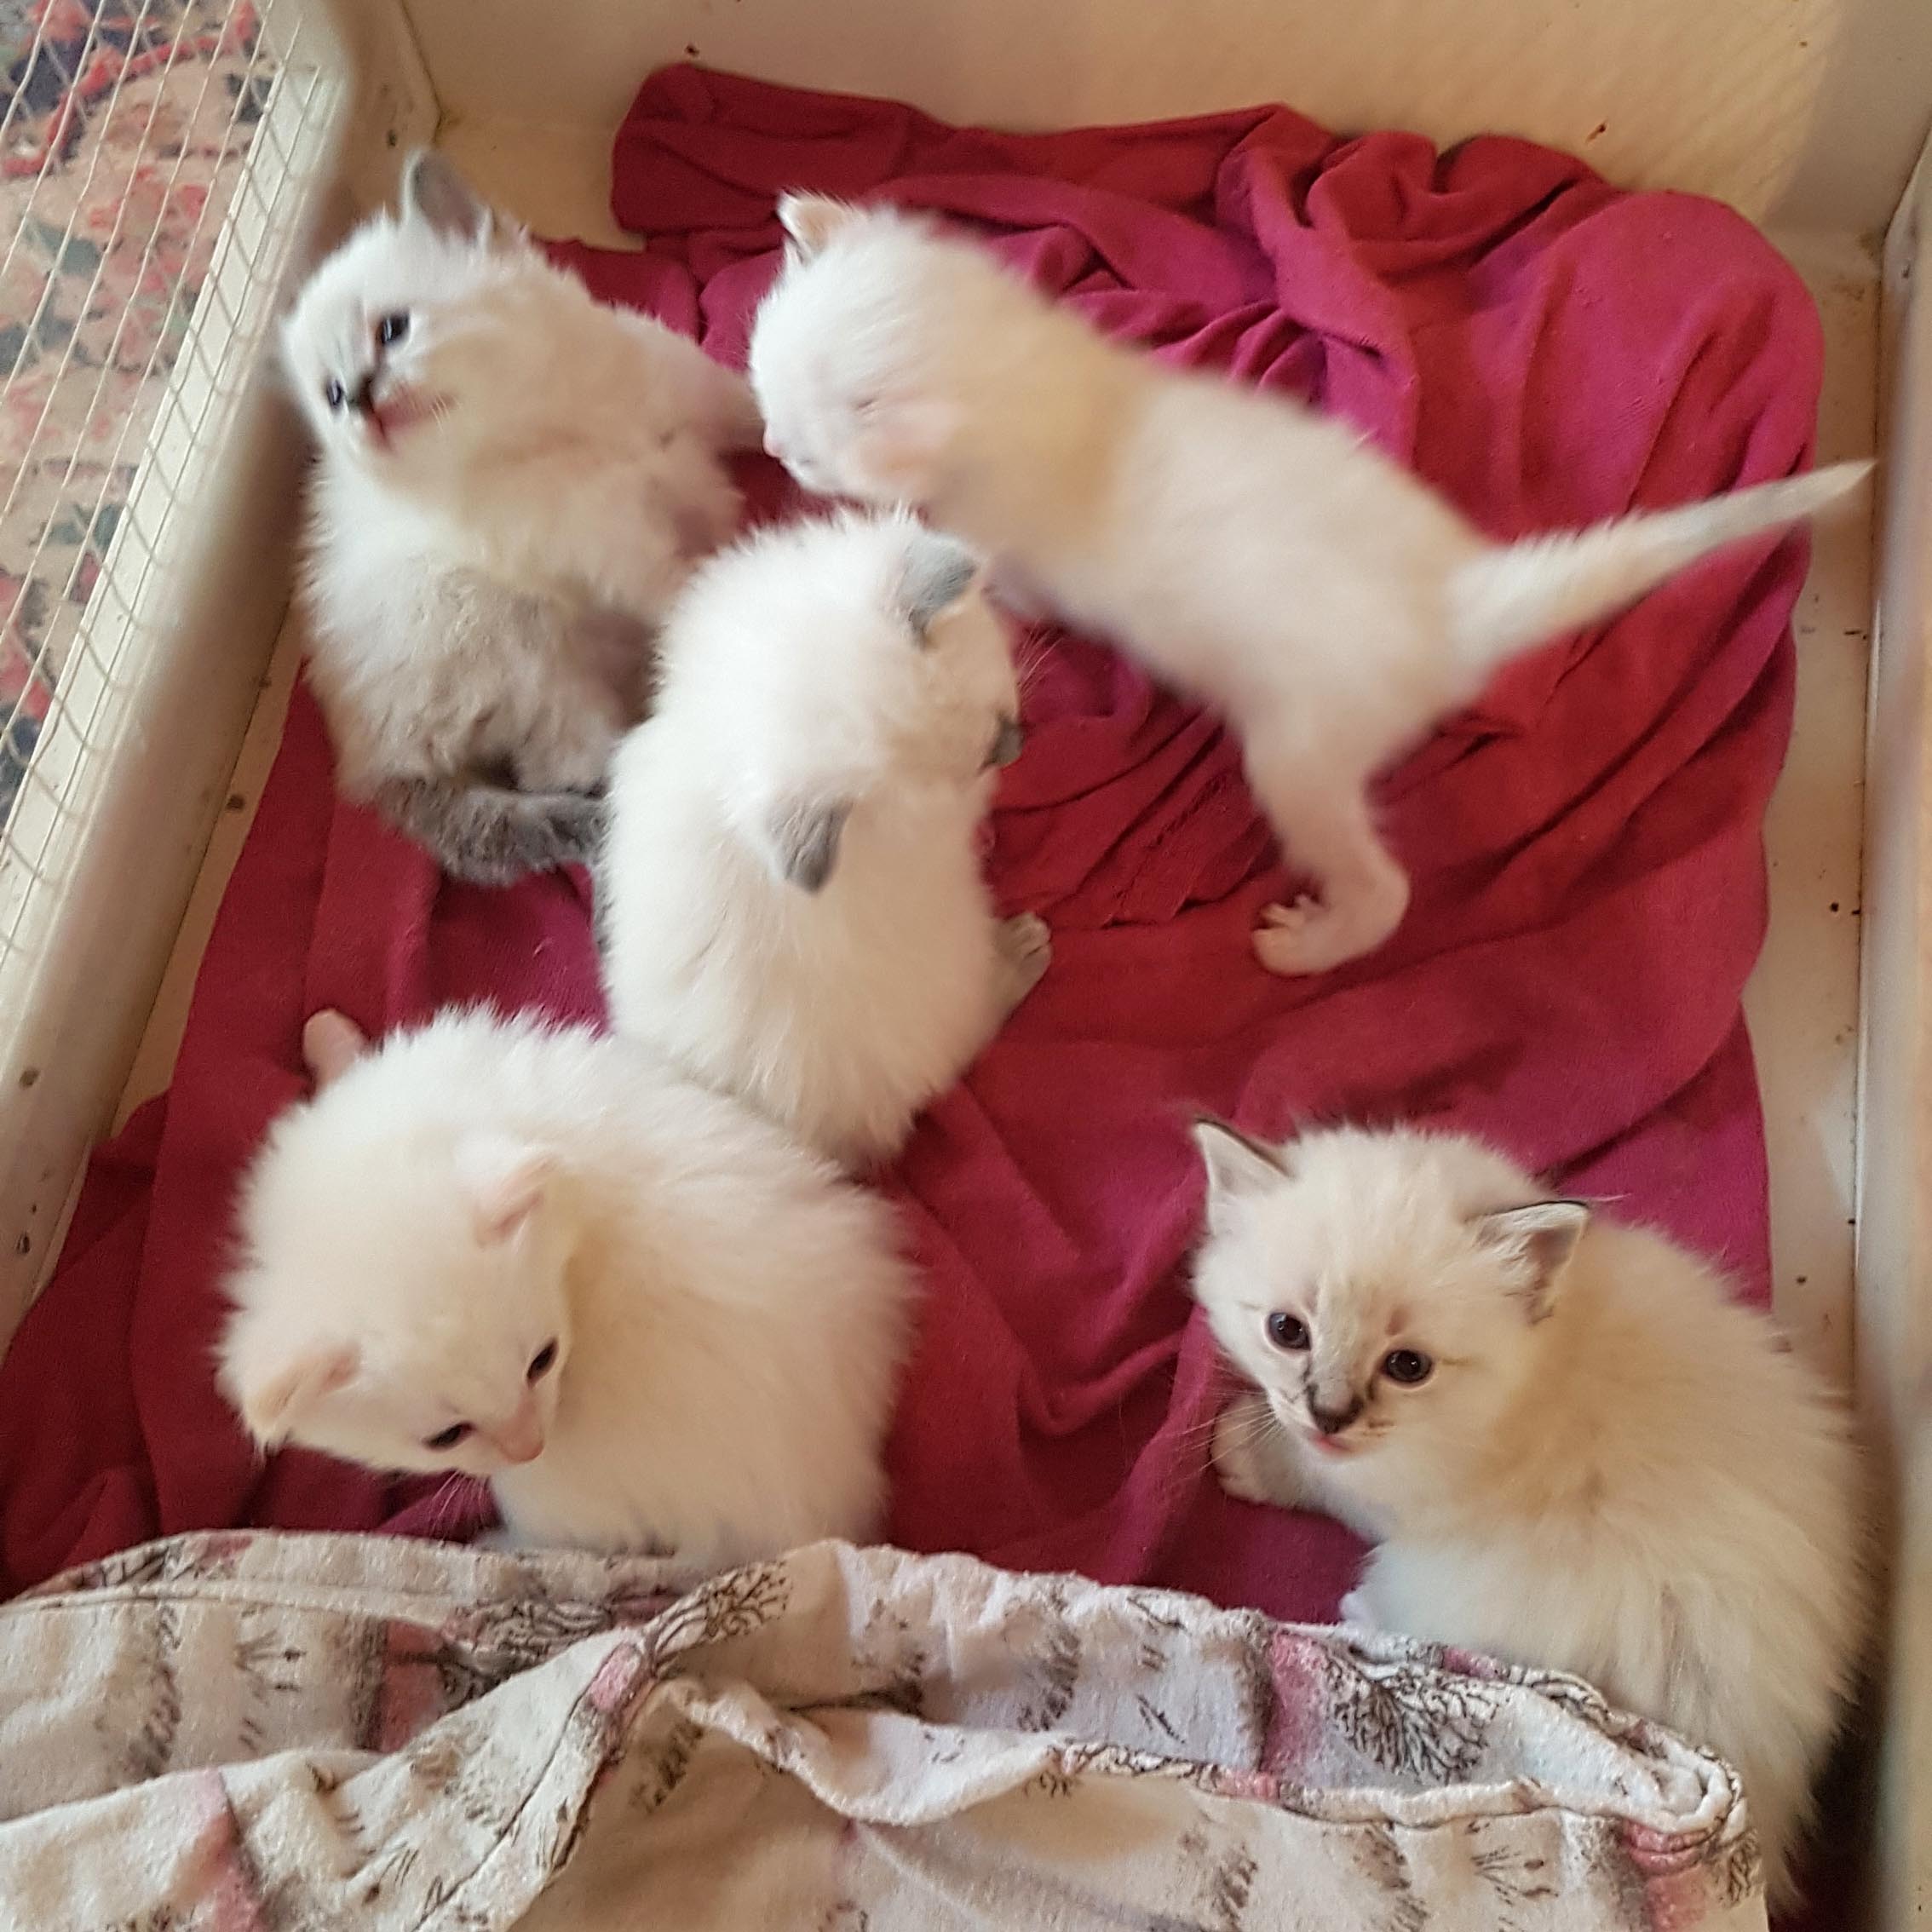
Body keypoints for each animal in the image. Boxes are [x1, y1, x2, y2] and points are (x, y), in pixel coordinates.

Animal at [280, 149, 762, 883]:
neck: (554, 427)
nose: (359, 400)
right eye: (331, 396)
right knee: (570, 769)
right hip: (514, 638)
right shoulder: (608, 548)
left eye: (392, 330)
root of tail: (367, 764)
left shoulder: (688, 388)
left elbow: (752, 411)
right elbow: (690, 586)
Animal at [747, 194, 1869, 974]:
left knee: (1389, 886)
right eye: (768, 401)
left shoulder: (1007, 548)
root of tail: (1455, 598)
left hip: (1299, 755)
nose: (770, 449)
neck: (1042, 386)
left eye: (803, 446)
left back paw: (1315, 940)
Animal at [1189, 1118, 1869, 1906]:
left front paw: (1245, 1449)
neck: (1536, 1367)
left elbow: (1320, 1474)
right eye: (1286, 1330)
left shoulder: (1403, 1492)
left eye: (1408, 1367)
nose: (1329, 1413)